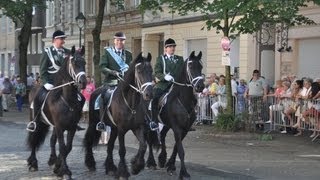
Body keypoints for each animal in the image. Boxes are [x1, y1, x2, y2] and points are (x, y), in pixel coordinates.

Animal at [26, 46, 87, 179]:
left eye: (84, 63)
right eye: (74, 63)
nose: (83, 82)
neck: (67, 100)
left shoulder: (71, 127)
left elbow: (68, 147)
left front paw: (58, 167)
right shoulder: (59, 127)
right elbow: (63, 148)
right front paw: (64, 171)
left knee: (52, 140)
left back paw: (52, 160)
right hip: (36, 121)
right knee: (34, 139)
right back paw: (33, 163)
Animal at [146, 51, 204, 179]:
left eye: (201, 67)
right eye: (191, 66)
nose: (200, 87)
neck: (183, 99)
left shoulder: (185, 128)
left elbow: (177, 147)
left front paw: (171, 165)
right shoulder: (177, 127)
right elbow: (181, 150)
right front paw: (184, 172)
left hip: (167, 124)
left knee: (162, 135)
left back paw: (162, 159)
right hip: (148, 123)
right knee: (150, 140)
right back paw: (151, 162)